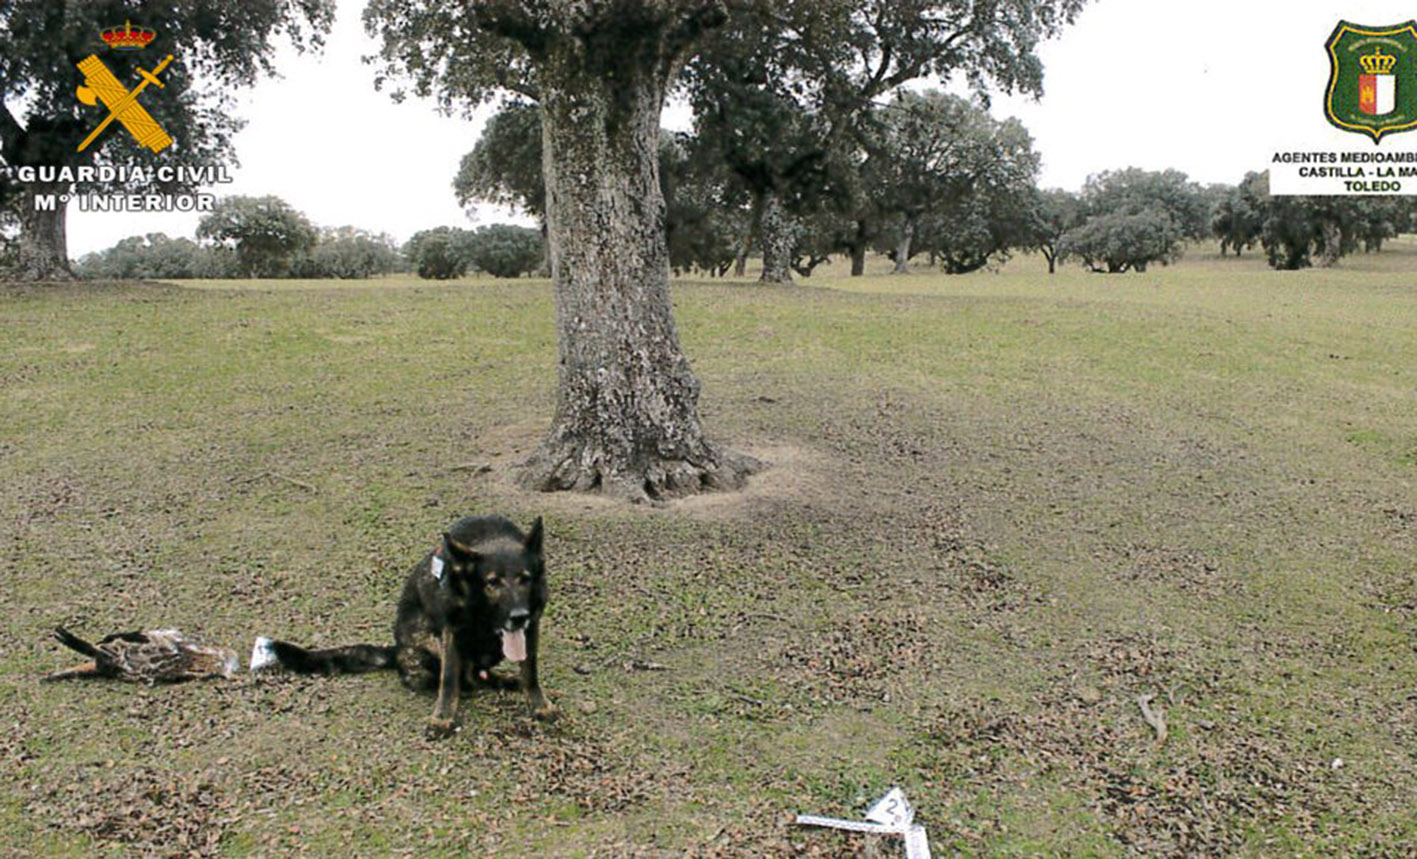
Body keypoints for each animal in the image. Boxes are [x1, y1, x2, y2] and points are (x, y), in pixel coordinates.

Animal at [252, 518, 549, 742]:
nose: (518, 616)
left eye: (525, 579)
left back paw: (502, 680)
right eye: (492, 582)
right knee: (451, 677)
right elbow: (448, 680)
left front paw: (540, 705)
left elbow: (530, 671)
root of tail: (396, 651)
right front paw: (442, 719)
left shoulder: (531, 627)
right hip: (427, 640)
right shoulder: (451, 631)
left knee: (477, 673)